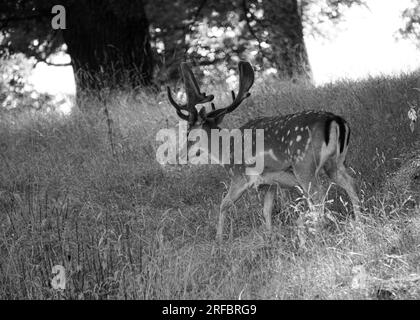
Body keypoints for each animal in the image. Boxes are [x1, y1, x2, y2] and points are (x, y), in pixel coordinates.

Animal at [167, 60, 360, 242]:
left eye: (188, 132)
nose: (178, 156)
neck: (226, 151)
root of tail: (336, 120)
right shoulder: (270, 183)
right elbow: (266, 210)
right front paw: (270, 236)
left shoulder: (239, 177)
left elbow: (223, 205)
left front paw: (219, 240)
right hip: (335, 163)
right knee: (350, 182)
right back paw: (360, 223)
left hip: (304, 166)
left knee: (320, 198)